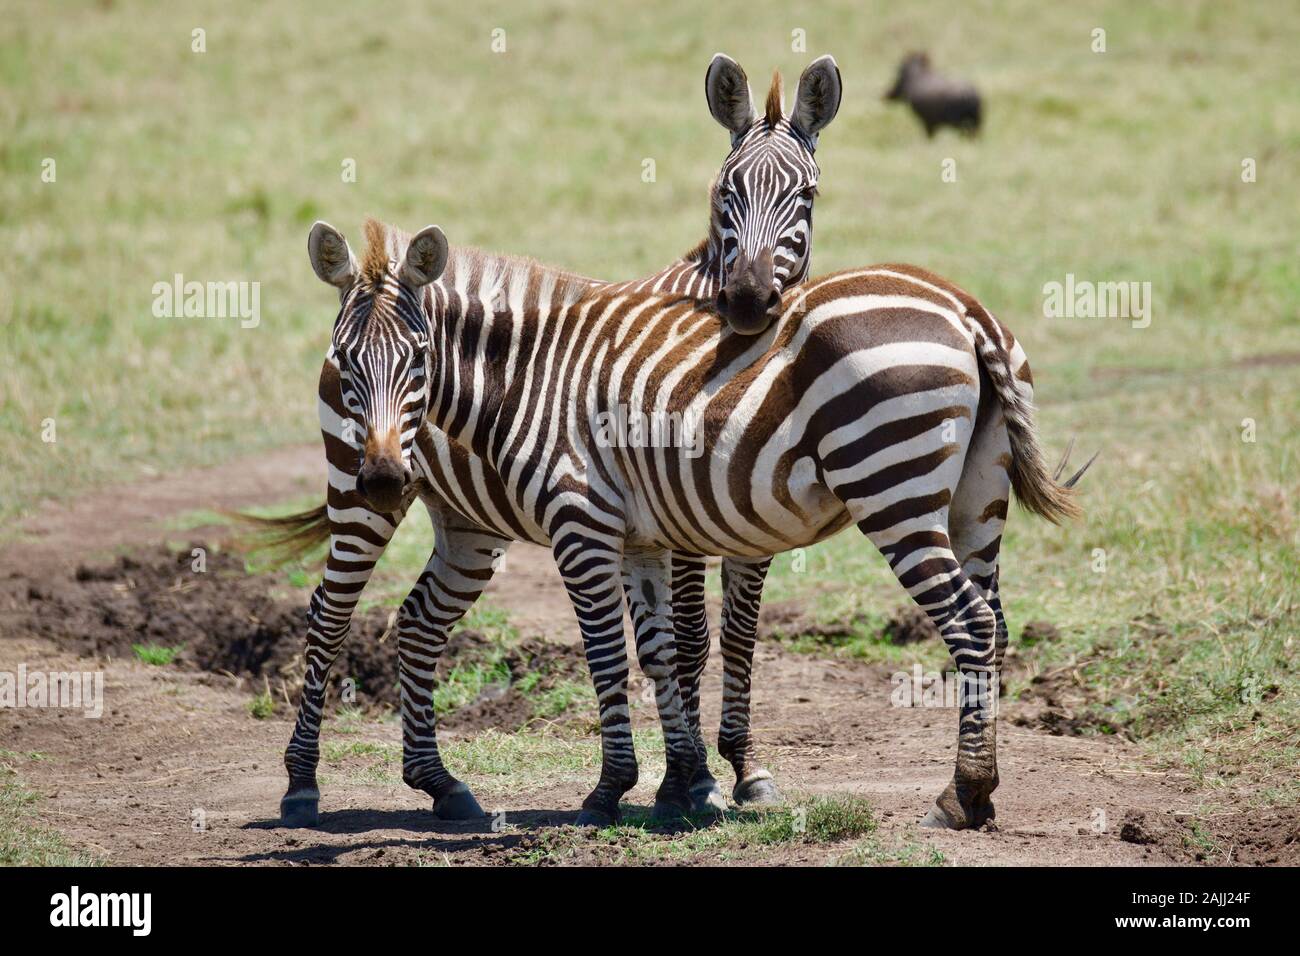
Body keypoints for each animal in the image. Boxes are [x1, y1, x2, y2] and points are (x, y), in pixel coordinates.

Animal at [295, 218, 1086, 832]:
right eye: (349, 362)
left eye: (419, 358)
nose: (385, 476)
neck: (530, 379)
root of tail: (964, 307)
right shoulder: (640, 539)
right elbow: (661, 652)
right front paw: (682, 790)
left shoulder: (581, 525)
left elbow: (608, 657)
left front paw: (610, 792)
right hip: (977, 501)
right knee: (401, 620)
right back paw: (425, 786)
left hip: (893, 485)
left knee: (971, 624)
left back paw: (962, 797)